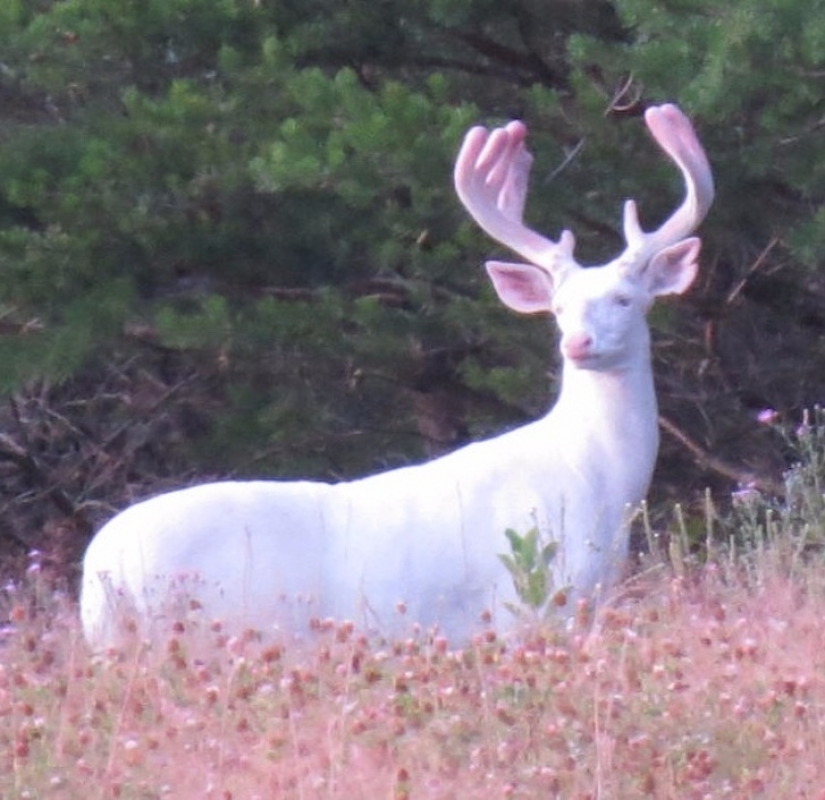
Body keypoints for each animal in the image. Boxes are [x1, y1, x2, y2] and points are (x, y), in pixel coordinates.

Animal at [82, 103, 716, 648]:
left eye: (625, 299)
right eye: (558, 308)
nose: (577, 342)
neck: (600, 481)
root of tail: (100, 568)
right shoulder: (527, 604)